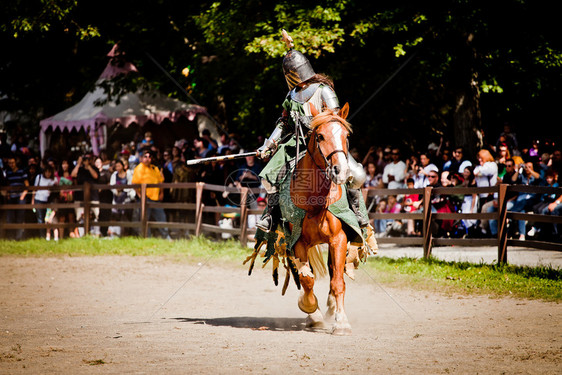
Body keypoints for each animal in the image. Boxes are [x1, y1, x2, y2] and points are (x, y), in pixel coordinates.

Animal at [288, 102, 354, 334]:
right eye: (320, 136)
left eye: (346, 136)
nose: (340, 171)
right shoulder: (297, 241)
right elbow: (307, 279)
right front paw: (310, 310)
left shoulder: (339, 239)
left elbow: (338, 282)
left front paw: (341, 321)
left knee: (335, 272)